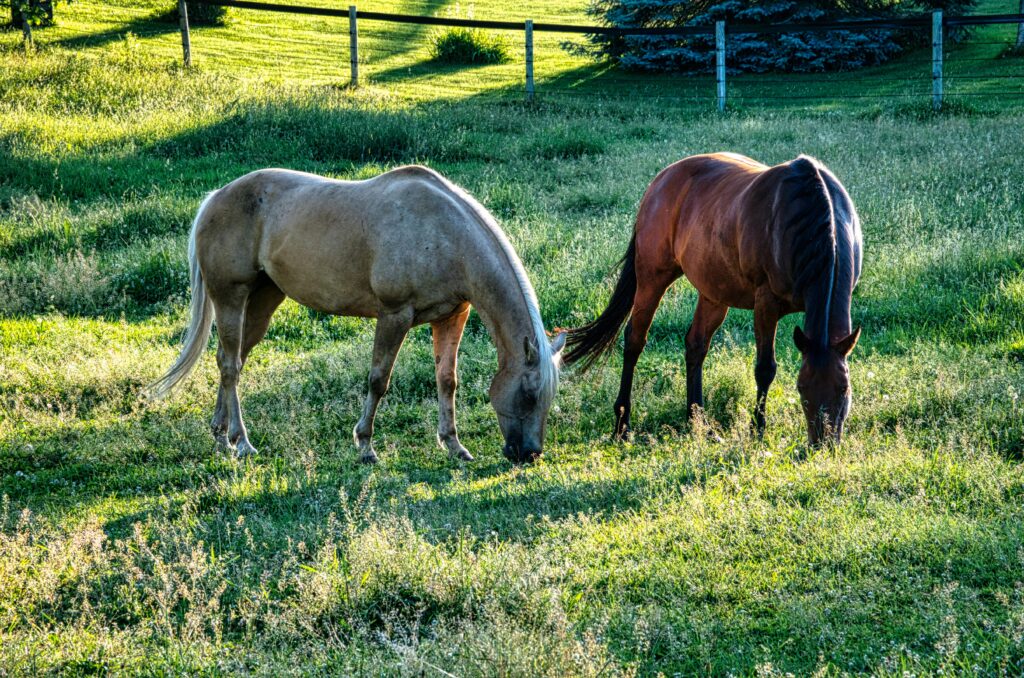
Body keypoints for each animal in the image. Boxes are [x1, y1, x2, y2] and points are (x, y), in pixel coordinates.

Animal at [148, 165, 565, 464]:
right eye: (529, 394)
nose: (529, 455)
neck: (446, 235)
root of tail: (215, 198)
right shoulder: (394, 315)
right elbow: (379, 380)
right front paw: (365, 446)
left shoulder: (451, 317)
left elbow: (447, 381)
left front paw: (453, 445)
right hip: (231, 298)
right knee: (231, 365)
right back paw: (242, 442)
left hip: (264, 301)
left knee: (229, 360)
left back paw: (222, 437)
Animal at [563, 153, 862, 446]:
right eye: (801, 388)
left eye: (844, 388)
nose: (823, 443)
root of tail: (661, 180)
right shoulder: (766, 304)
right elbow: (765, 368)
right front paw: (757, 430)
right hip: (652, 278)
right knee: (635, 339)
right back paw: (623, 424)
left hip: (713, 293)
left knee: (695, 345)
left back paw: (698, 422)